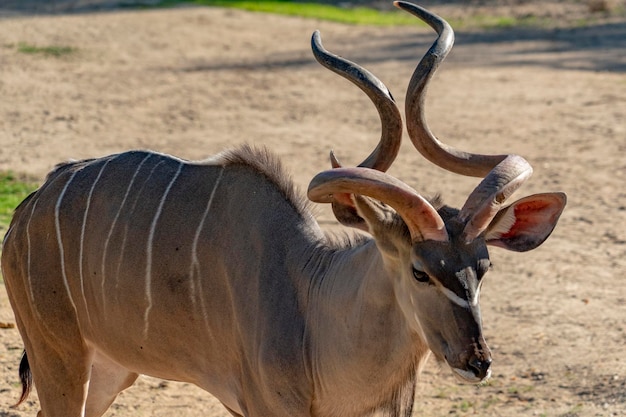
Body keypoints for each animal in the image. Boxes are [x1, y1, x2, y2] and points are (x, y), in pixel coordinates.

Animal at [1, 1, 564, 414]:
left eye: (484, 267)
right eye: (420, 271)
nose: (477, 362)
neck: (315, 302)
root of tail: (30, 205)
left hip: (109, 371)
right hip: (59, 357)